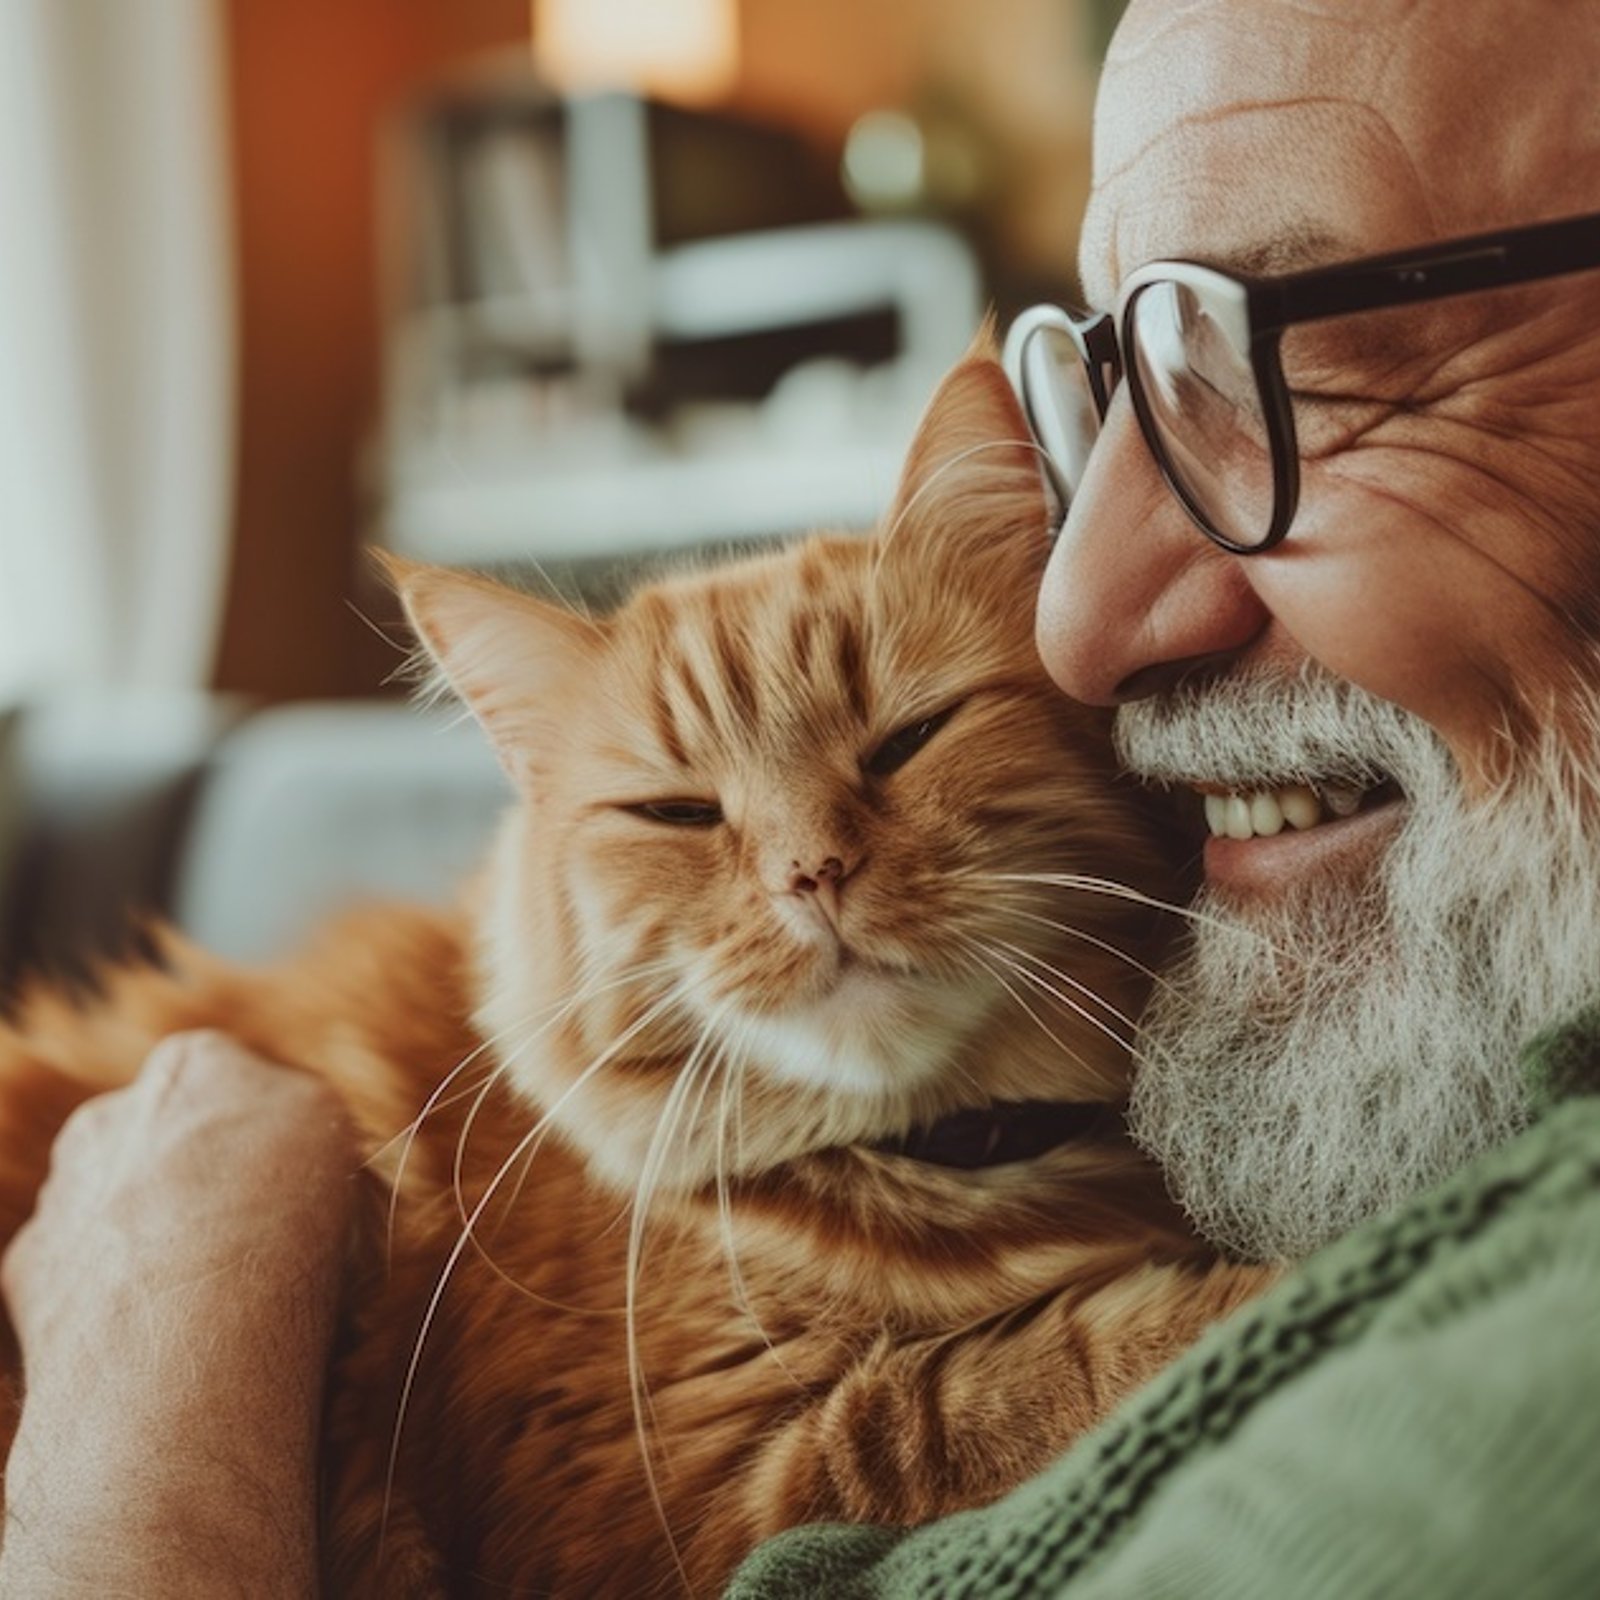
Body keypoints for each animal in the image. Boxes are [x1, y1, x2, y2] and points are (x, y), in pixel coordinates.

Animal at [0, 344, 1260, 1593]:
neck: (943, 1160)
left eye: (909, 740)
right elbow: (1022, 1383)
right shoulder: (696, 1486)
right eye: (678, 813)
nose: (810, 871)